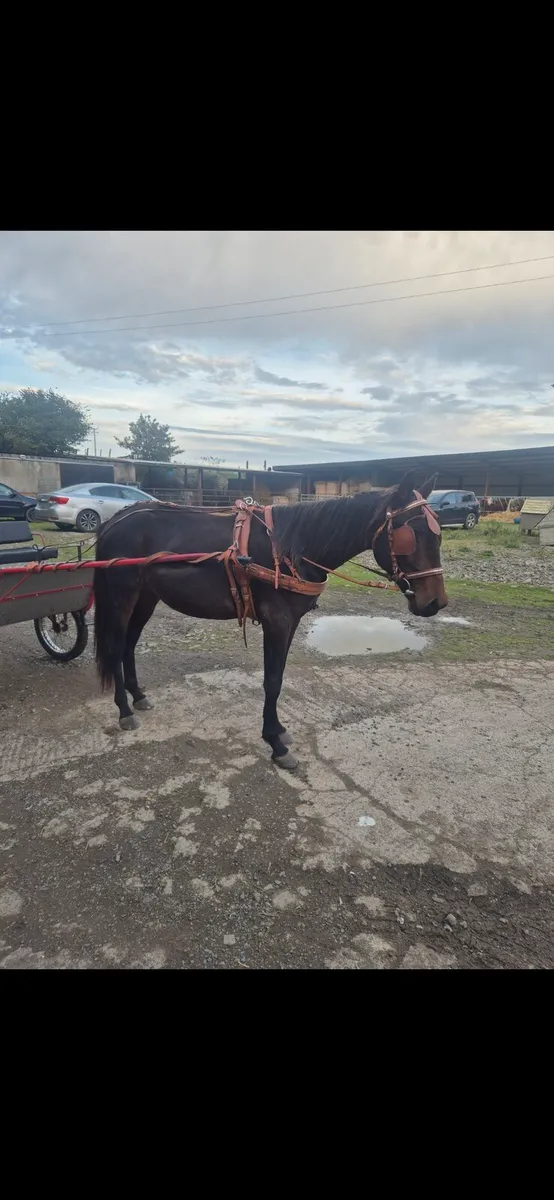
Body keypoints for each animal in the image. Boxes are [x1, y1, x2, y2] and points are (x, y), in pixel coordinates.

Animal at [93, 470, 447, 769]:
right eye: (413, 534)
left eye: (439, 533)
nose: (436, 602)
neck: (292, 547)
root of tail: (116, 519)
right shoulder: (277, 622)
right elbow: (272, 681)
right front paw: (275, 744)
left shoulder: (290, 623)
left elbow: (278, 677)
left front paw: (277, 729)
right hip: (123, 596)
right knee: (116, 647)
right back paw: (124, 710)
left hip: (146, 597)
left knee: (129, 645)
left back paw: (138, 696)